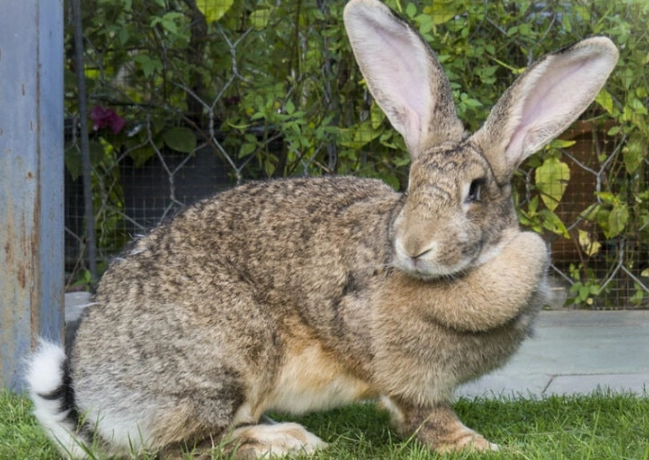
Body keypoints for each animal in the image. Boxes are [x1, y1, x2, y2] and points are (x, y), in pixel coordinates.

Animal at [27, 0, 618, 457]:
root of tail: (92, 397)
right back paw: (287, 440)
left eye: (475, 191)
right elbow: (426, 416)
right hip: (224, 360)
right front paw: (478, 445)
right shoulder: (405, 375)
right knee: (184, 447)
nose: (414, 247)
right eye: (409, 184)